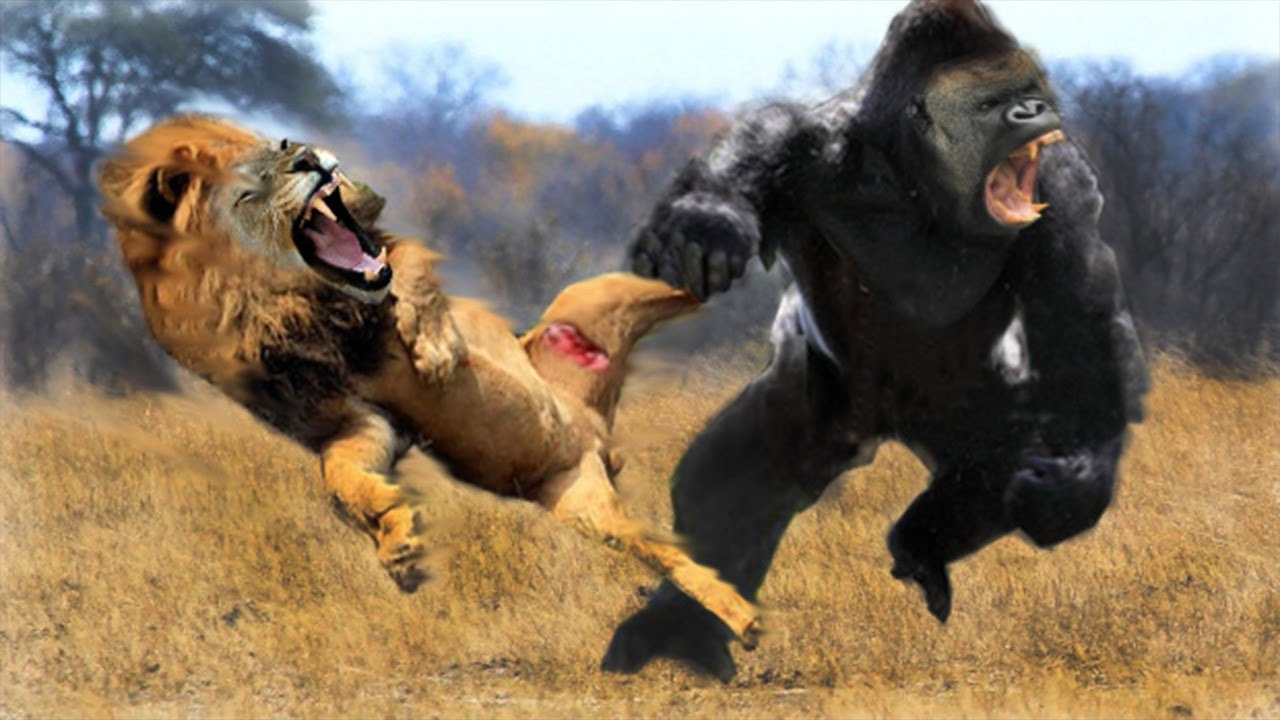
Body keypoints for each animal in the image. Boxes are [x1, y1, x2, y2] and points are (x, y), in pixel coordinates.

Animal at [97, 116, 759, 647]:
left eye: (284, 144)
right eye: (254, 177)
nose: (312, 157)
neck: (288, 303)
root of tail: (596, 428)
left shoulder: (391, 260)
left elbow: (411, 269)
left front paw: (434, 348)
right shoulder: (355, 419)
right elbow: (341, 483)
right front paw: (399, 545)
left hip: (606, 294)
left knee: (692, 277)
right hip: (584, 501)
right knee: (661, 551)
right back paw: (745, 621)